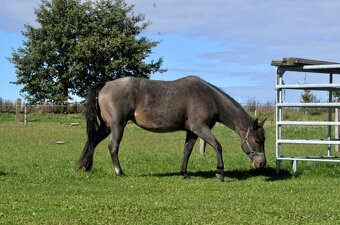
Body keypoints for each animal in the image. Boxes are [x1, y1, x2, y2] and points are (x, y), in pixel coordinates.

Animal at [77, 76, 266, 181]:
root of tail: (106, 84)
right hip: (117, 126)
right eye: (256, 140)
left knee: (92, 141)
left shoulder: (192, 131)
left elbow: (187, 151)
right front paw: (220, 173)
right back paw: (119, 172)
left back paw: (84, 166)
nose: (261, 163)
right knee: (113, 147)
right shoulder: (200, 128)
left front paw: (184, 173)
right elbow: (217, 145)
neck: (209, 98)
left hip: (107, 127)